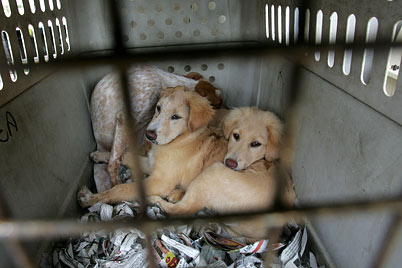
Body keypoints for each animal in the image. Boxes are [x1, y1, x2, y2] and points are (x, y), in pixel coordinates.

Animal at [77, 86, 229, 207]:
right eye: (158, 108)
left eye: (176, 117)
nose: (149, 135)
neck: (181, 139)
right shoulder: (152, 164)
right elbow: (126, 155)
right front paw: (101, 155)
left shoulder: (161, 180)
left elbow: (122, 188)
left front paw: (91, 198)